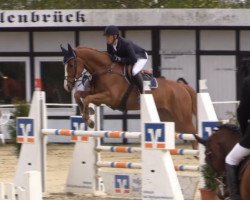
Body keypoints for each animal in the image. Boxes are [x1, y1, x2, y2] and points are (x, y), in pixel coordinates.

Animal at [61, 43, 197, 137]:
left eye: (71, 65)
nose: (67, 86)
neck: (105, 70)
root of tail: (182, 87)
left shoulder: (110, 98)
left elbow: (88, 98)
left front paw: (89, 120)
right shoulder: (96, 94)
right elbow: (79, 95)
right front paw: (87, 113)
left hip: (181, 118)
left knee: (193, 131)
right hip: (168, 116)